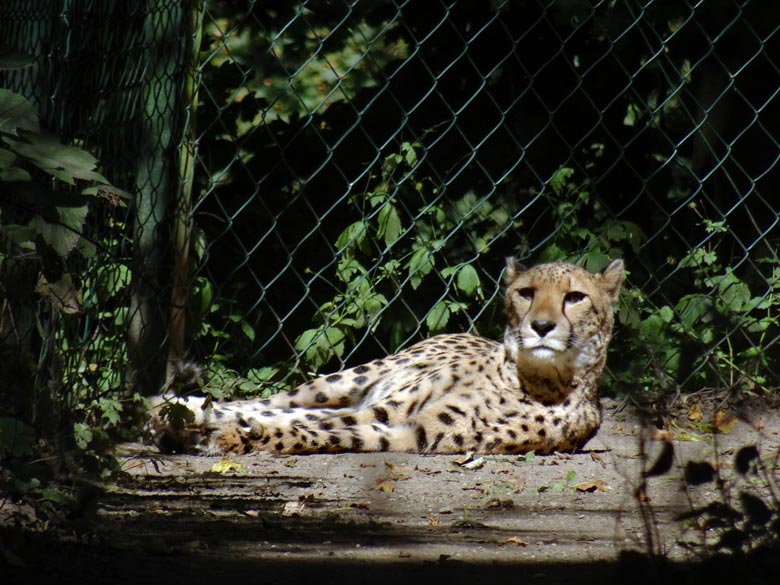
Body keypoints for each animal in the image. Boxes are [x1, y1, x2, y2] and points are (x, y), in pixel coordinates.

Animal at [155, 258, 624, 456]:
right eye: (526, 293)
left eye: (575, 297)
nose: (541, 326)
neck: (528, 376)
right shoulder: (389, 408)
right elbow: (294, 421)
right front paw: (205, 428)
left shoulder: (412, 433)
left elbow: (321, 433)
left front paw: (229, 438)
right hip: (350, 379)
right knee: (264, 403)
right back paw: (167, 408)